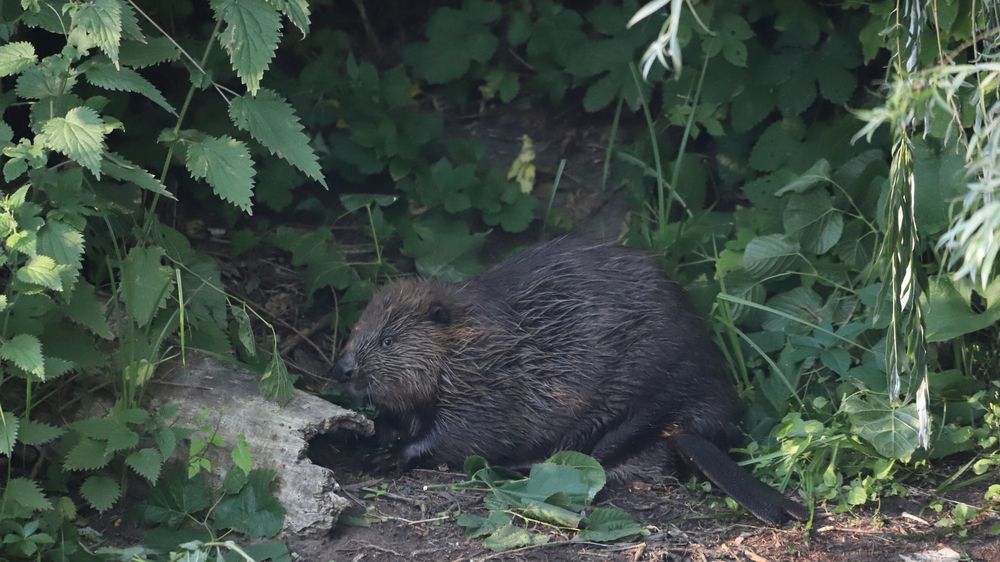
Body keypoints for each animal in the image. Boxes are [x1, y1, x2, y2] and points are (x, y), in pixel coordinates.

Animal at [332, 234, 808, 524]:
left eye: (389, 340)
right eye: (356, 327)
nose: (342, 369)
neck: (469, 341)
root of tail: (698, 431)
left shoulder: (491, 384)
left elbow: (462, 434)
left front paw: (386, 458)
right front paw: (367, 442)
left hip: (641, 394)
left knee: (597, 456)